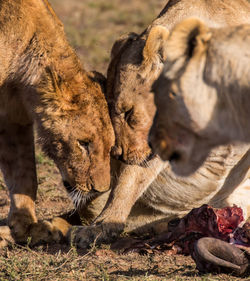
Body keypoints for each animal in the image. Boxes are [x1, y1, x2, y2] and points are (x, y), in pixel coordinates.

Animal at [0, 0, 114, 244]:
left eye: (110, 148)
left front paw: (26, 228)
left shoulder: (13, 118)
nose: (101, 190)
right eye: (83, 143)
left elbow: (24, 174)